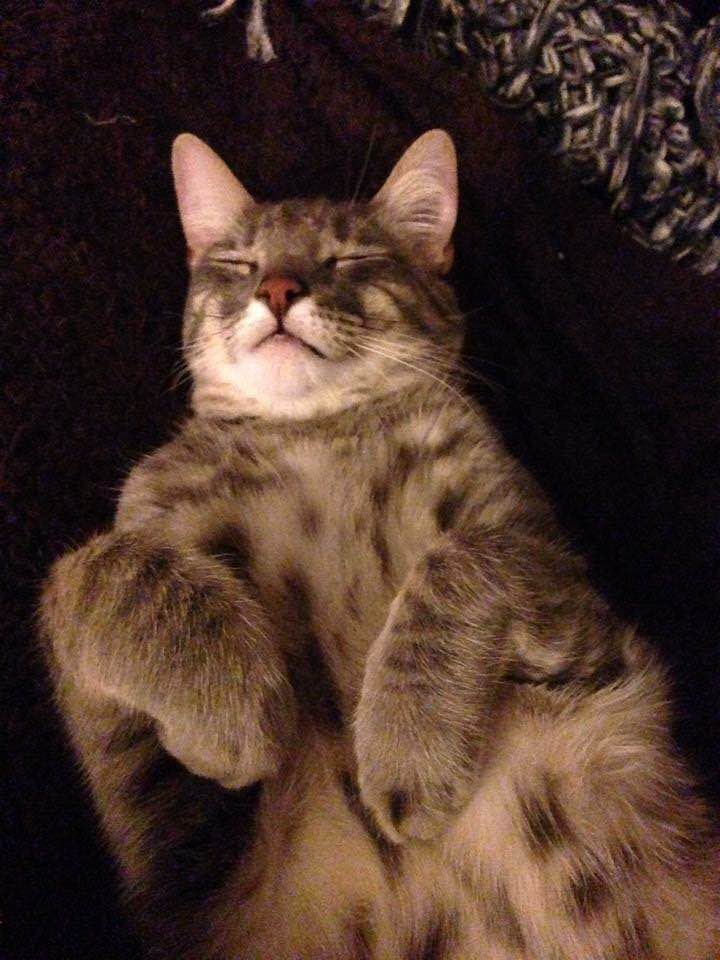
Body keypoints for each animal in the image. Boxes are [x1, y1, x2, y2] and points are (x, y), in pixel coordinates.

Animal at [40, 130, 719, 960]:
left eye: (351, 258)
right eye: (238, 263)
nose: (278, 289)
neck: (316, 436)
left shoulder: (570, 597)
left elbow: (462, 556)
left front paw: (408, 742)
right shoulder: (176, 866)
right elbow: (93, 567)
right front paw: (232, 701)